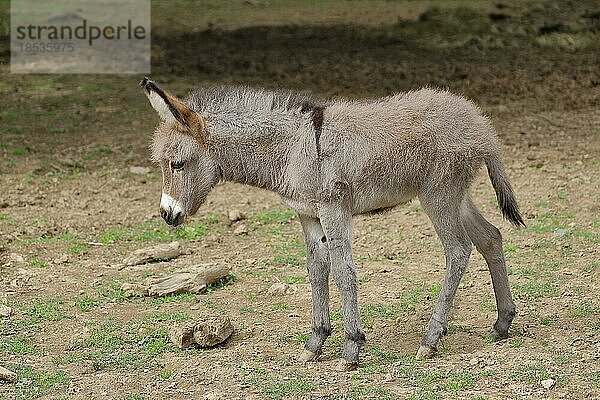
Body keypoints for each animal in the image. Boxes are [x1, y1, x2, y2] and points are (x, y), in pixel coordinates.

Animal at [138, 78, 524, 372]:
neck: (291, 149)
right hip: (457, 196)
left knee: (458, 251)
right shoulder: (308, 215)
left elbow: (343, 272)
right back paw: (502, 323)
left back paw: (431, 339)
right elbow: (316, 270)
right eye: (163, 164)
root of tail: (481, 124)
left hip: (438, 195)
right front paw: (315, 342)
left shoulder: (333, 207)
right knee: (491, 238)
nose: (167, 214)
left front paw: (352, 348)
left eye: (176, 164)